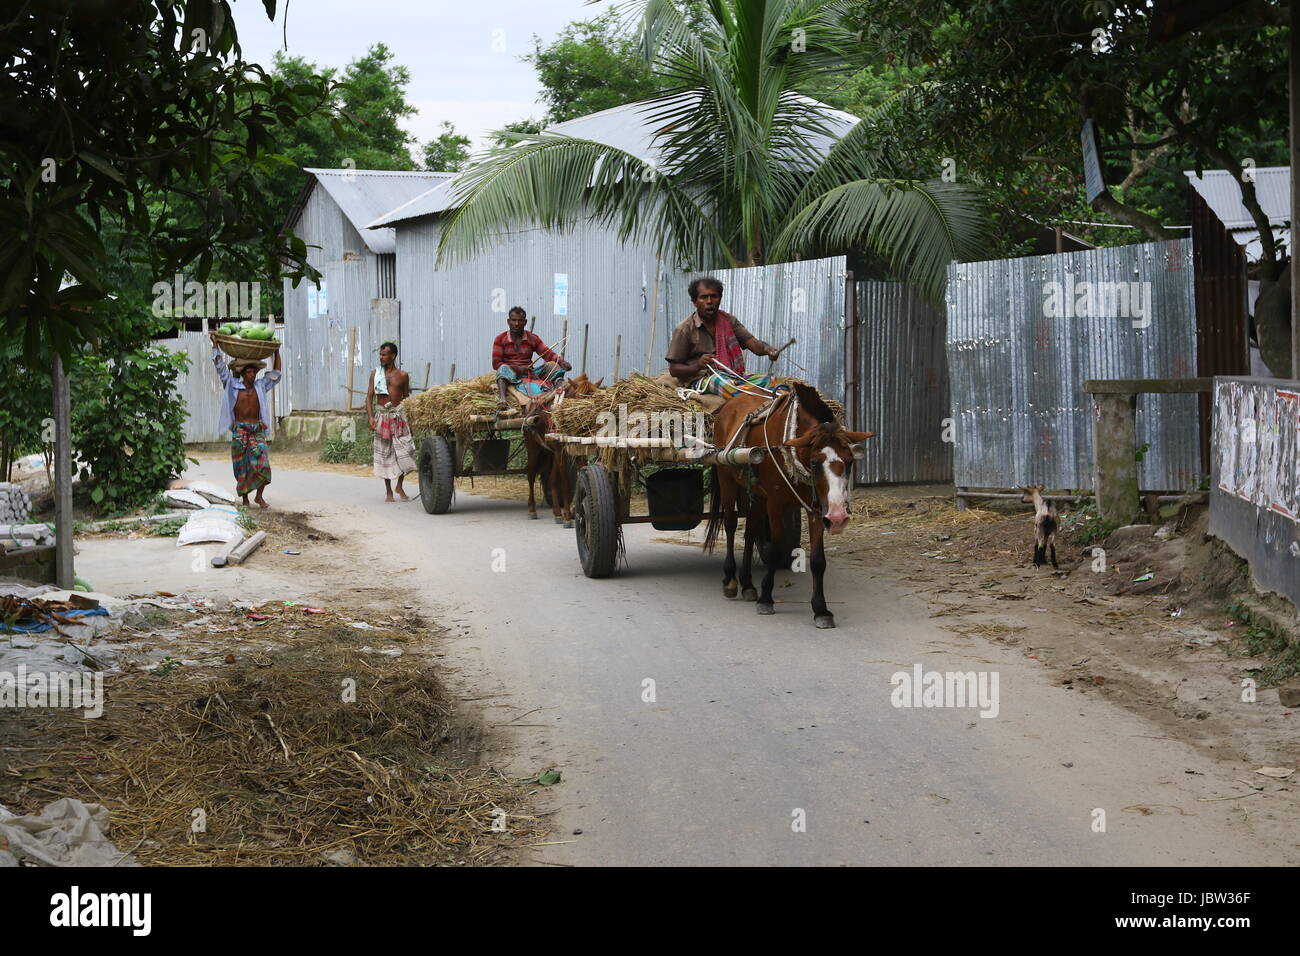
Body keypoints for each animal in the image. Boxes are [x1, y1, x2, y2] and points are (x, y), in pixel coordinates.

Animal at [520, 374, 600, 522]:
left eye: (594, 398)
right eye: (578, 398)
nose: (587, 422)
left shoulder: (579, 450)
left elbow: (580, 474)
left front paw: (574, 510)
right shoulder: (560, 451)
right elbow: (565, 482)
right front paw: (568, 515)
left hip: (551, 453)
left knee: (551, 479)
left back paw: (557, 512)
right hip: (533, 447)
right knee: (531, 475)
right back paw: (532, 509)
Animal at [707, 382, 878, 629]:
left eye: (849, 461)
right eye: (815, 463)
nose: (838, 518)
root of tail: (729, 405)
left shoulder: (816, 508)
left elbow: (817, 560)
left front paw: (821, 609)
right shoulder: (775, 504)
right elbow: (775, 550)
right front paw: (766, 598)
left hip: (756, 494)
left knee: (750, 532)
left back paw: (747, 584)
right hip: (726, 478)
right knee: (730, 526)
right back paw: (730, 580)